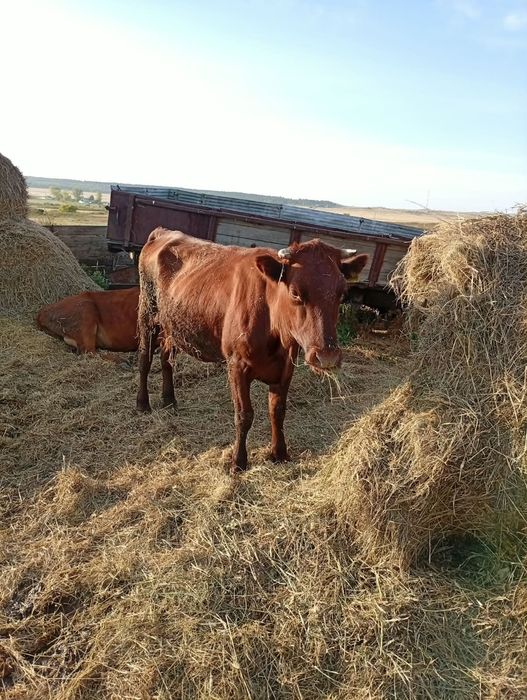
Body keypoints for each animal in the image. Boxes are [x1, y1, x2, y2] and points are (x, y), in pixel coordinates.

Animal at [136, 228, 368, 473]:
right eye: (295, 293)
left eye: (342, 293)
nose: (327, 356)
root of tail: (164, 232)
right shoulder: (237, 366)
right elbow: (244, 415)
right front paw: (238, 462)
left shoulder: (286, 367)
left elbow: (278, 410)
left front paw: (279, 453)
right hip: (147, 313)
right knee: (144, 359)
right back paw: (143, 404)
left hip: (171, 325)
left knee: (166, 359)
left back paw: (169, 400)